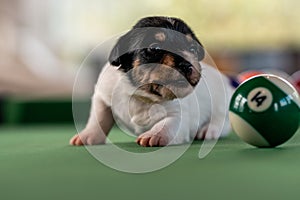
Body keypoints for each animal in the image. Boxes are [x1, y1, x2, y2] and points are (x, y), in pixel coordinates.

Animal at [70, 16, 234, 146]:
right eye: (154, 48)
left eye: (193, 49)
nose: (187, 64)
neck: (142, 95)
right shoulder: (102, 96)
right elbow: (99, 118)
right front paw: (89, 135)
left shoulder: (178, 114)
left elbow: (167, 124)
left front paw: (155, 134)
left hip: (220, 107)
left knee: (221, 122)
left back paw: (208, 130)